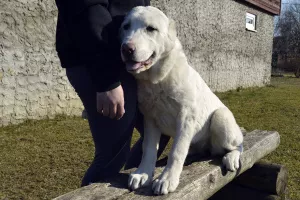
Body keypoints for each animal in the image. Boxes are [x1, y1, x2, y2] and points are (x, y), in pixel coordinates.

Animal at [118, 5, 243, 195]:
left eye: (151, 29)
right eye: (126, 27)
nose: (126, 49)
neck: (158, 81)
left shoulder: (186, 118)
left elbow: (176, 151)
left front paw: (167, 179)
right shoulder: (150, 119)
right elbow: (148, 149)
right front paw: (143, 173)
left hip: (221, 117)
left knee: (239, 144)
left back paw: (232, 157)